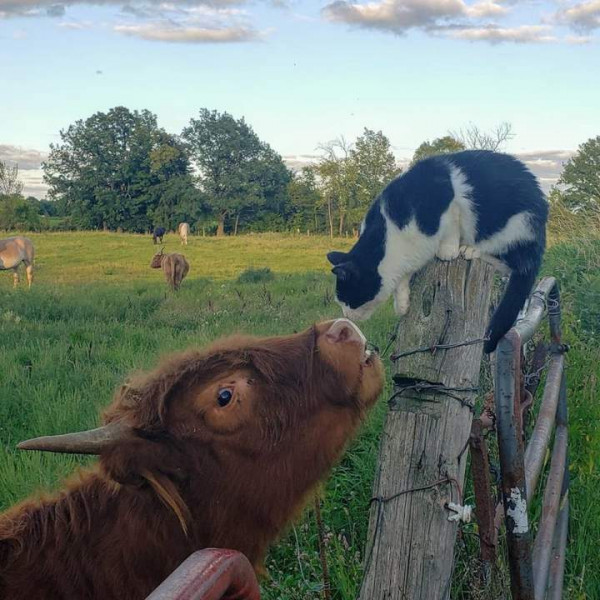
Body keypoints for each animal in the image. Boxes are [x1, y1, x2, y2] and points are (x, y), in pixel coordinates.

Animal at [328, 150, 548, 354]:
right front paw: (402, 303)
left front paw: (448, 250)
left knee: (510, 263)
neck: (389, 235)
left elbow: (451, 225)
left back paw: (471, 249)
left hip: (517, 225)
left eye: (347, 300)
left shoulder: (446, 199)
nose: (346, 317)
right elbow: (402, 280)